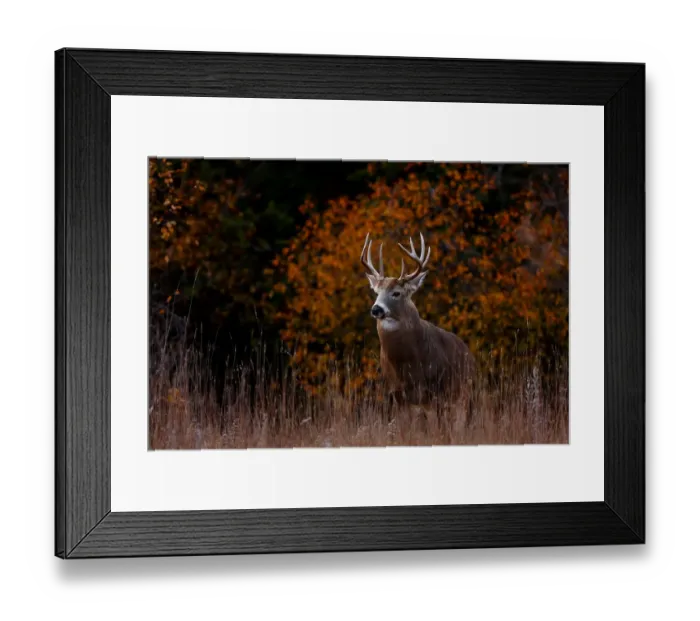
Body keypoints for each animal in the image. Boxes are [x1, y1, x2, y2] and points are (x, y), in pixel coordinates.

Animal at [360, 232, 476, 426]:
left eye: (396, 293)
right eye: (376, 292)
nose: (376, 309)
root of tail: (467, 350)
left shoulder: (438, 389)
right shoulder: (397, 392)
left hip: (464, 391)